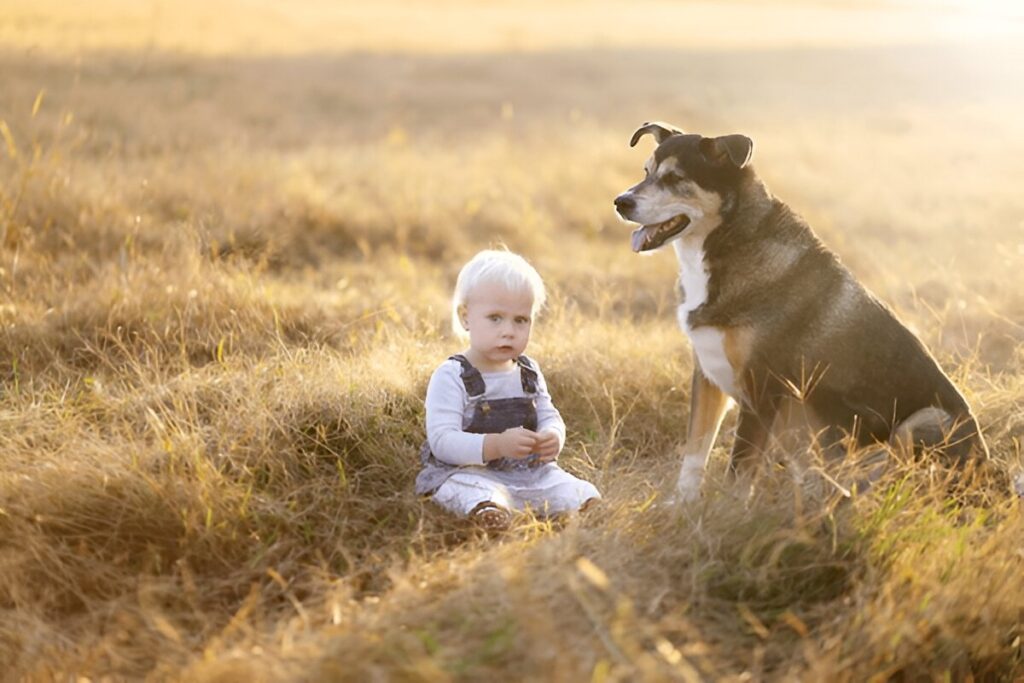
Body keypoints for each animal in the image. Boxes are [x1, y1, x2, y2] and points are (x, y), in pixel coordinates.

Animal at [610, 121, 987, 501]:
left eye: (676, 178)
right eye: (646, 172)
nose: (620, 202)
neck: (728, 244)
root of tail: (989, 476)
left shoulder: (762, 387)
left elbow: (739, 469)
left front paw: (726, 512)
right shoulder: (706, 375)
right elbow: (694, 452)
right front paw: (682, 505)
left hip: (924, 421)